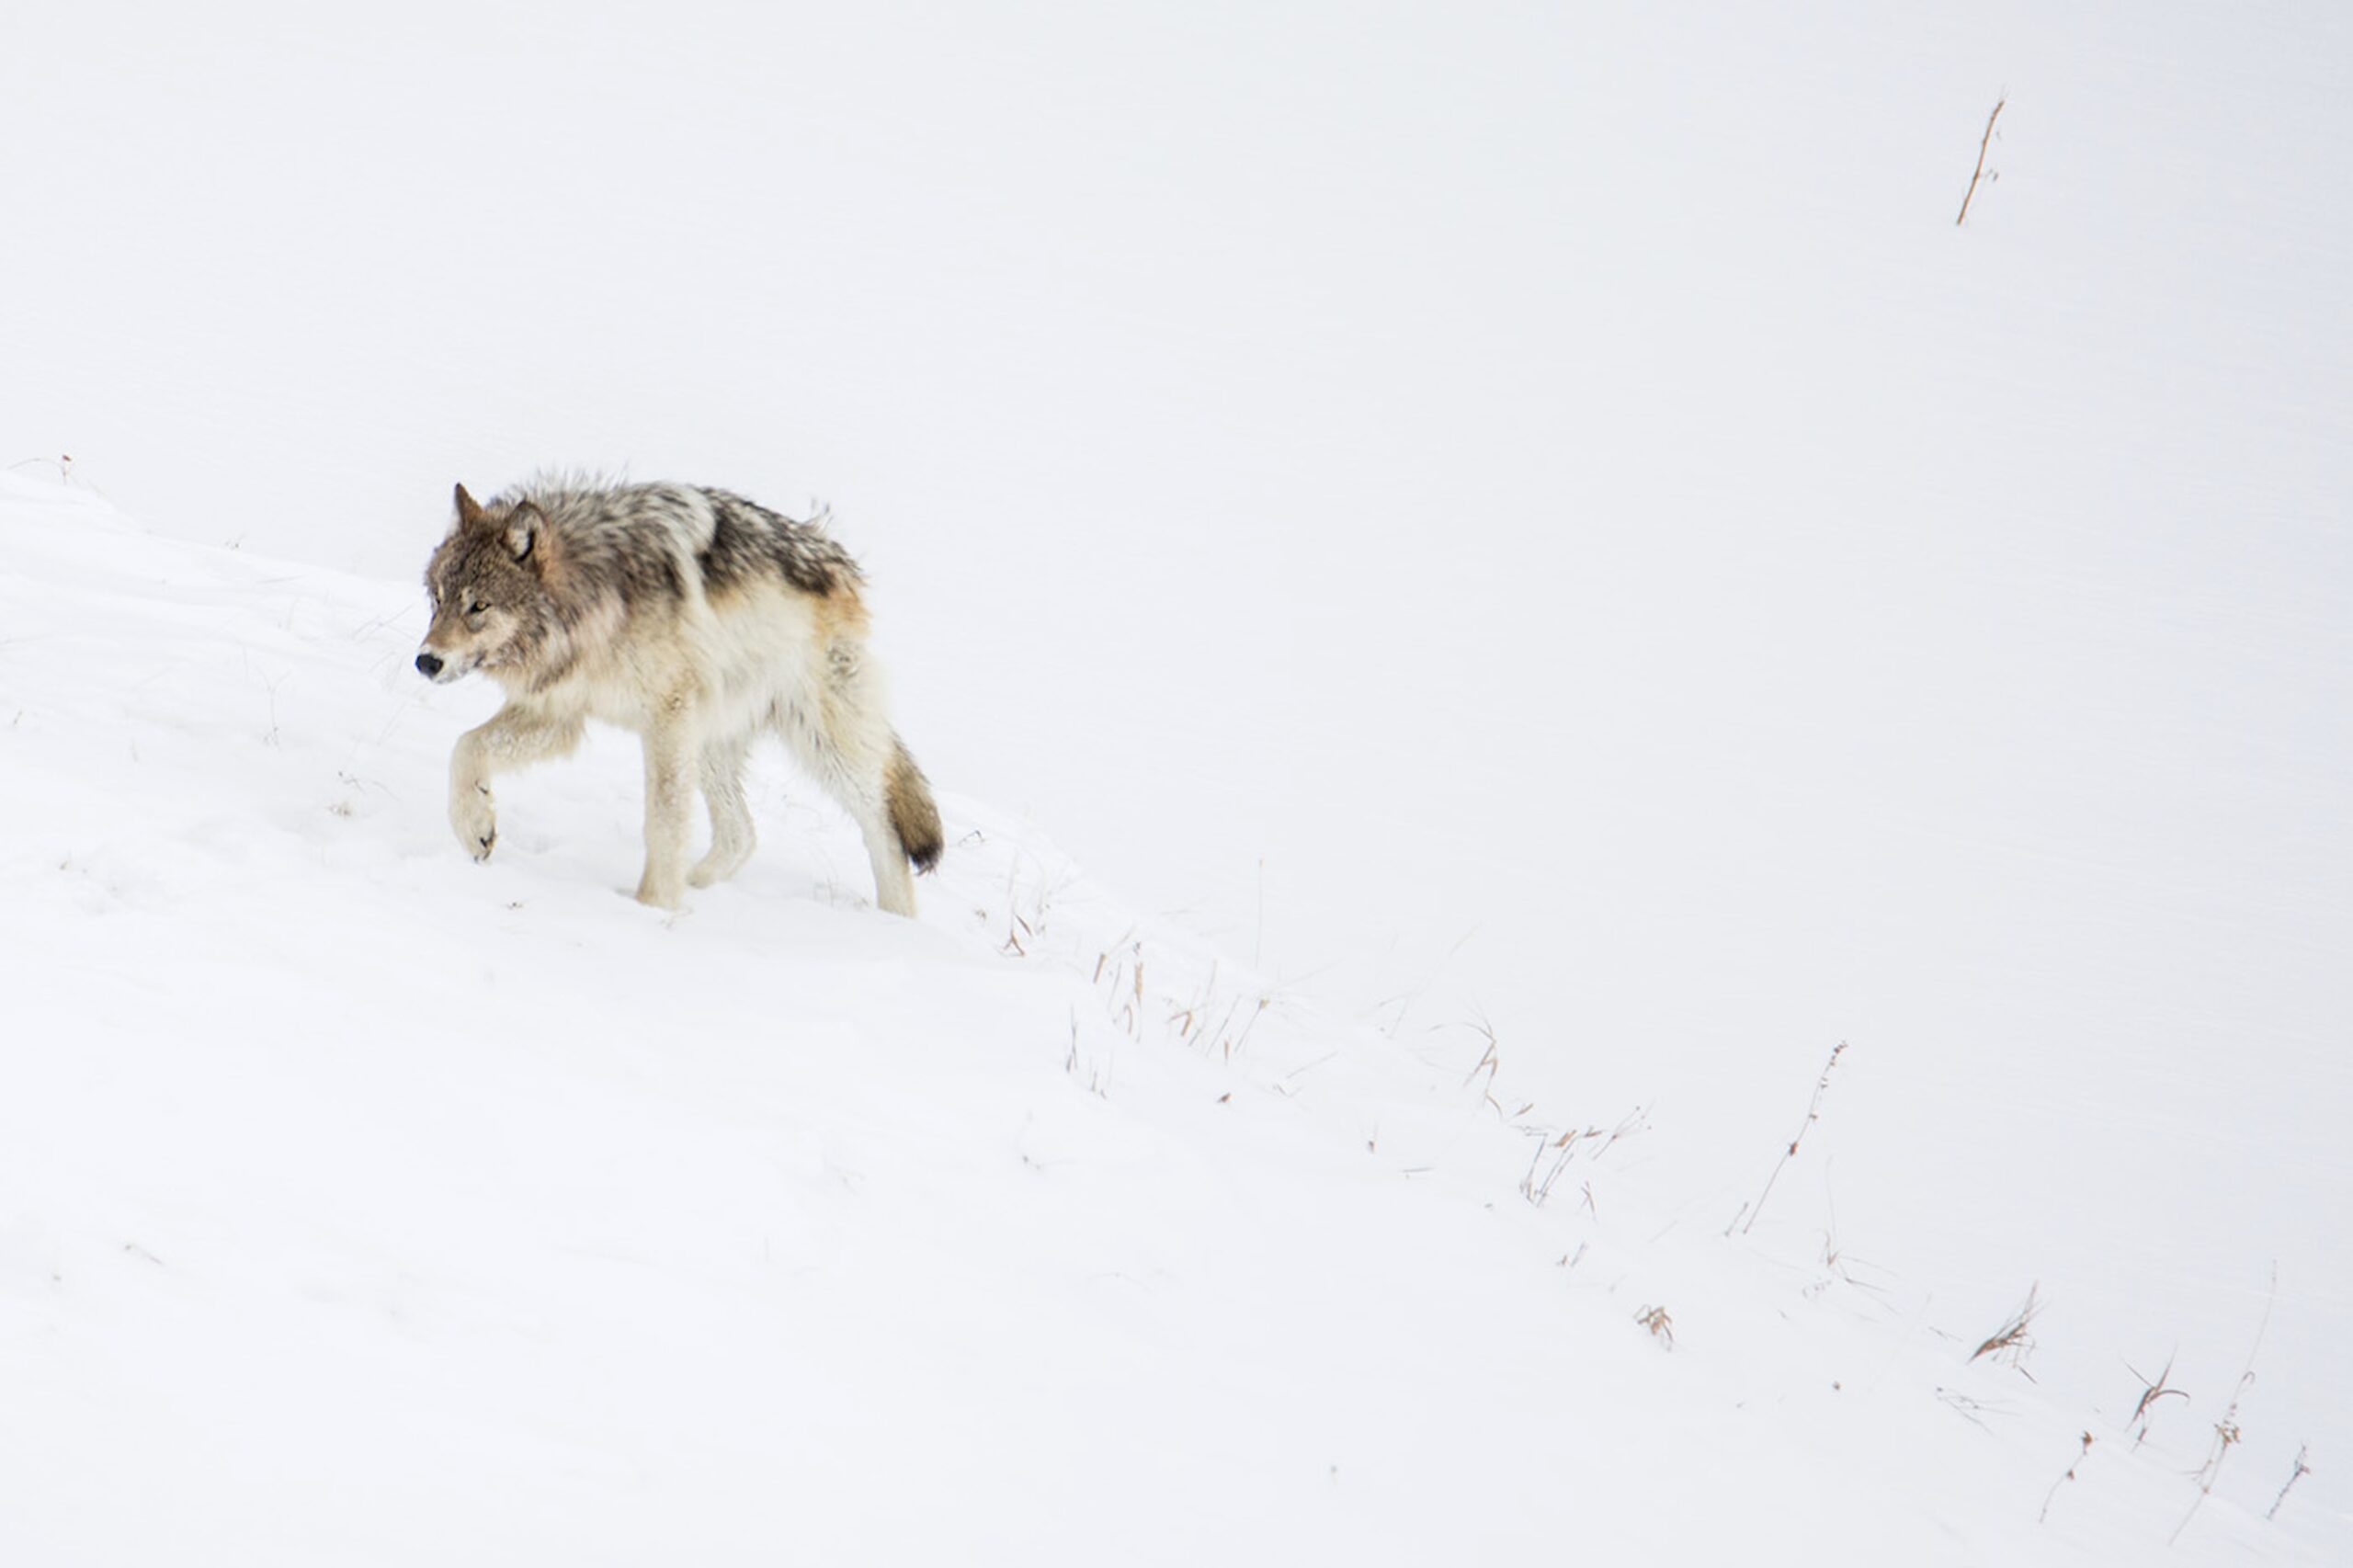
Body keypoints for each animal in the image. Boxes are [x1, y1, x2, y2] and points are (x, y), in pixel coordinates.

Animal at [415, 477, 943, 915]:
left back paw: (896, 924)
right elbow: (465, 748)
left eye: (479, 606)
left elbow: (664, 821)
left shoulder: (665, 716)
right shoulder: (559, 713)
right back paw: (695, 886)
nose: (426, 661)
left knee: (883, 826)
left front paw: (652, 908)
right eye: (437, 599)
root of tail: (842, 564)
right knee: (742, 834)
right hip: (709, 740)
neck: (596, 598)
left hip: (817, 741)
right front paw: (475, 829)